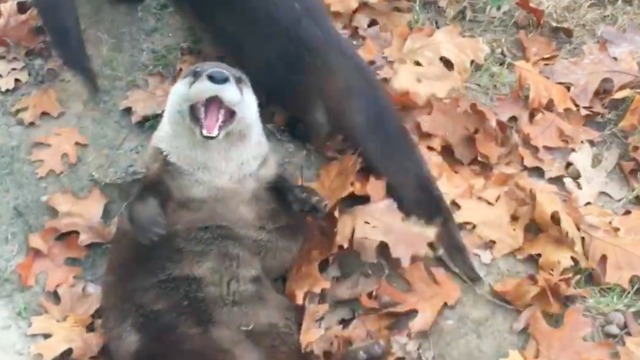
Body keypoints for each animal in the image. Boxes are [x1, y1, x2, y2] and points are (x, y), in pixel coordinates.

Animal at [101, 61, 324, 360]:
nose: (218, 75)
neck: (218, 178)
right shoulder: (163, 171)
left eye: (238, 79)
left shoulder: (261, 179)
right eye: (196, 72)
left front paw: (309, 199)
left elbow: (283, 192)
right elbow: (143, 195)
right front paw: (151, 226)